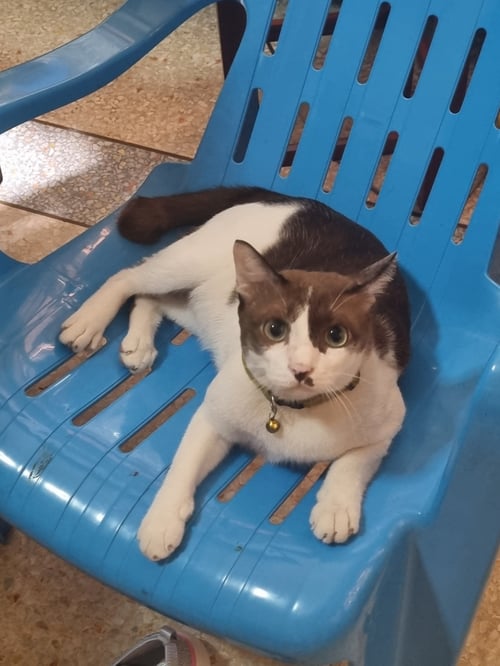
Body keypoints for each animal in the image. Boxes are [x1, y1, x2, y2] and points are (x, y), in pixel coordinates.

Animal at [59, 186, 410, 561]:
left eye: (336, 336)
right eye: (275, 330)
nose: (300, 368)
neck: (291, 409)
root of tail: (287, 198)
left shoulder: (390, 416)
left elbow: (354, 460)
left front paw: (336, 507)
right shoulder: (215, 411)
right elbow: (185, 462)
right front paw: (162, 519)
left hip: (201, 307)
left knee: (151, 297)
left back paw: (139, 342)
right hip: (188, 265)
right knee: (129, 276)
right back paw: (90, 319)